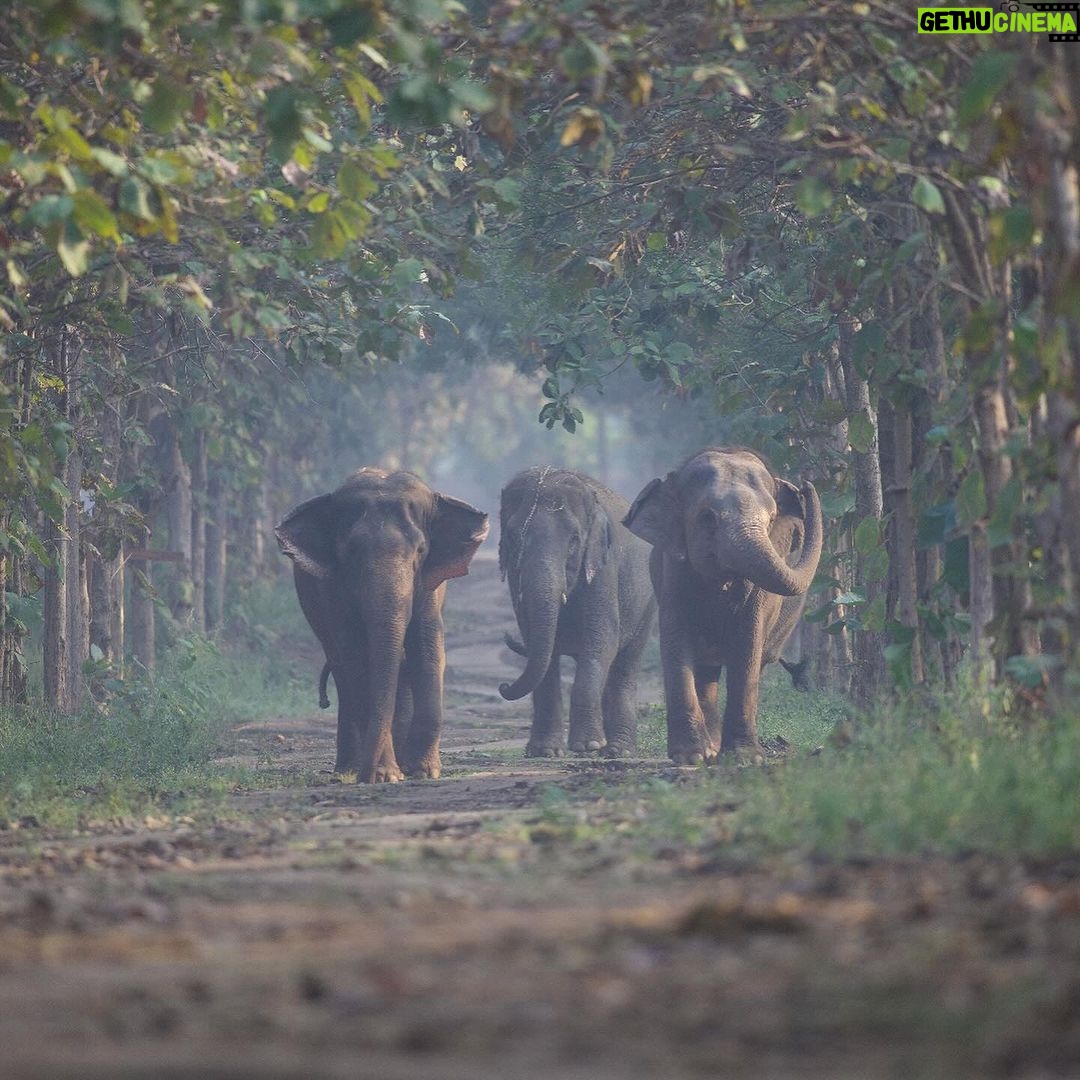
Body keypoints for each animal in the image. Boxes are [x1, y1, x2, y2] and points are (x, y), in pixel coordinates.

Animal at [275, 468, 489, 783]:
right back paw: (349, 768)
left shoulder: (430, 586)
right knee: (343, 672)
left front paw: (423, 771)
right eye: (350, 551)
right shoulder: (331, 591)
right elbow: (354, 658)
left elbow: (427, 650)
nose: (367, 776)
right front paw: (385, 775)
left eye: (421, 550)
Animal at [498, 466, 656, 757]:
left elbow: (602, 639)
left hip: (648, 603)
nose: (503, 686)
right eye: (513, 538)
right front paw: (546, 751)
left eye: (574, 540)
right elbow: (538, 644)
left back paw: (618, 750)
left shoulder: (604, 566)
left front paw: (588, 747)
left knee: (625, 665)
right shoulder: (515, 579)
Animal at [624, 447, 823, 763]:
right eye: (707, 517)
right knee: (705, 669)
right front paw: (690, 757)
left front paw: (745, 758)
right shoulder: (673, 572)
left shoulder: (758, 593)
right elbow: (676, 638)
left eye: (771, 520)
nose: (804, 485)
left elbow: (747, 642)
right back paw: (710, 749)